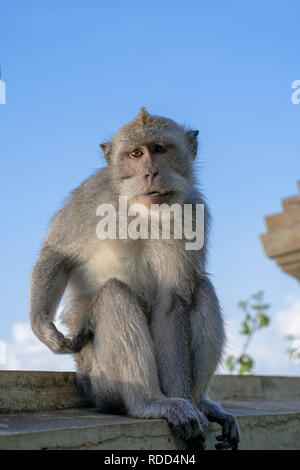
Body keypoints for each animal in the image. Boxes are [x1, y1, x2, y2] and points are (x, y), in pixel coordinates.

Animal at [29, 108, 239, 450]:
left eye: (159, 149)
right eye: (136, 154)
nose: (150, 173)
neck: (141, 210)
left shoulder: (193, 209)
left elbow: (172, 304)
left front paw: (190, 408)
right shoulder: (91, 195)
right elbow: (57, 253)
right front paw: (43, 327)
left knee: (201, 287)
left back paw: (197, 403)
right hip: (99, 380)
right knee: (114, 294)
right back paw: (148, 402)